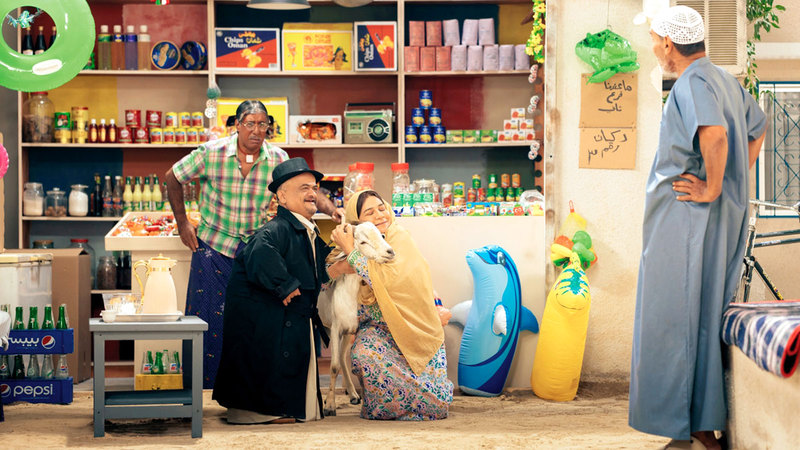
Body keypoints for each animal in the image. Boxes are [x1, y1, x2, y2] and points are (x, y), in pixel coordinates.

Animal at [318, 221, 395, 416]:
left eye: (381, 235)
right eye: (363, 242)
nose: (390, 252)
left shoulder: (352, 329)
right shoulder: (336, 328)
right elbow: (334, 366)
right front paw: (329, 406)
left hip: (347, 334)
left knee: (343, 357)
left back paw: (353, 395)